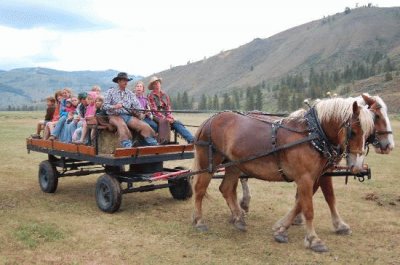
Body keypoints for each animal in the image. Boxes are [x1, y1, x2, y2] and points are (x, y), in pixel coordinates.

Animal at [192, 97, 374, 252]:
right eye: (353, 132)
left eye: (368, 133)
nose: (357, 166)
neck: (313, 135)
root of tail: (209, 120)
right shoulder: (305, 178)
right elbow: (308, 208)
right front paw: (314, 240)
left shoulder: (315, 176)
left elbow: (304, 202)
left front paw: (281, 229)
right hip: (208, 164)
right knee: (200, 189)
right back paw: (199, 221)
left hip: (234, 165)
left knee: (226, 188)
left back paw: (238, 219)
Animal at [238, 94, 394, 234]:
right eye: (376, 116)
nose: (389, 146)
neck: (318, 132)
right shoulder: (318, 173)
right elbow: (320, 196)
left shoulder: (321, 171)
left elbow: (316, 197)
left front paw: (296, 220)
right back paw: (242, 207)